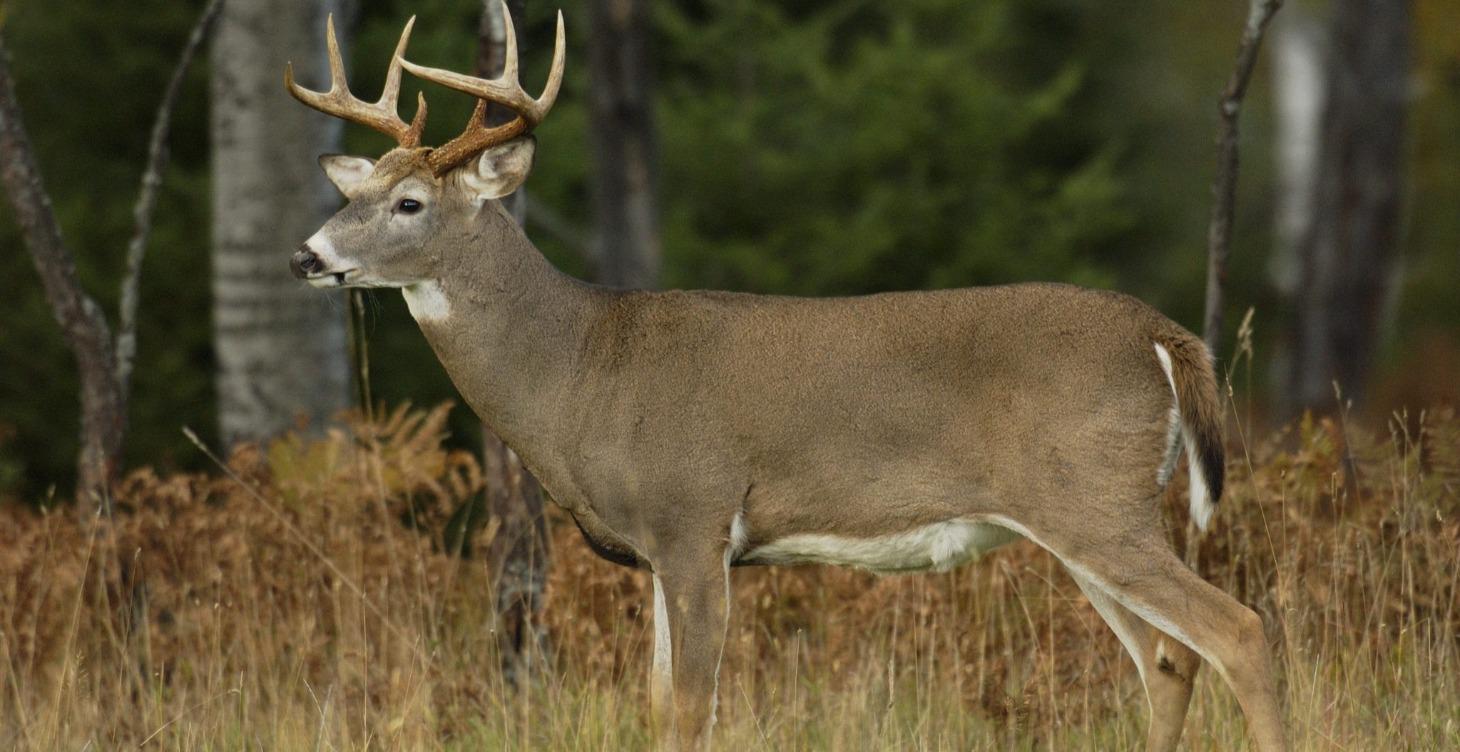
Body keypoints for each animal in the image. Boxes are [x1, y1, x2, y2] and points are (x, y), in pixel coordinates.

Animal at [283, 4, 1287, 750]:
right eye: (351, 191)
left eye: (410, 203)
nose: (306, 255)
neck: (579, 370)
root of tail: (1165, 336)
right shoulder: (658, 549)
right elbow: (658, 708)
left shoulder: (694, 519)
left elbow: (693, 713)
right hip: (1086, 514)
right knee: (1169, 661)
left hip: (1094, 502)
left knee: (1238, 633)